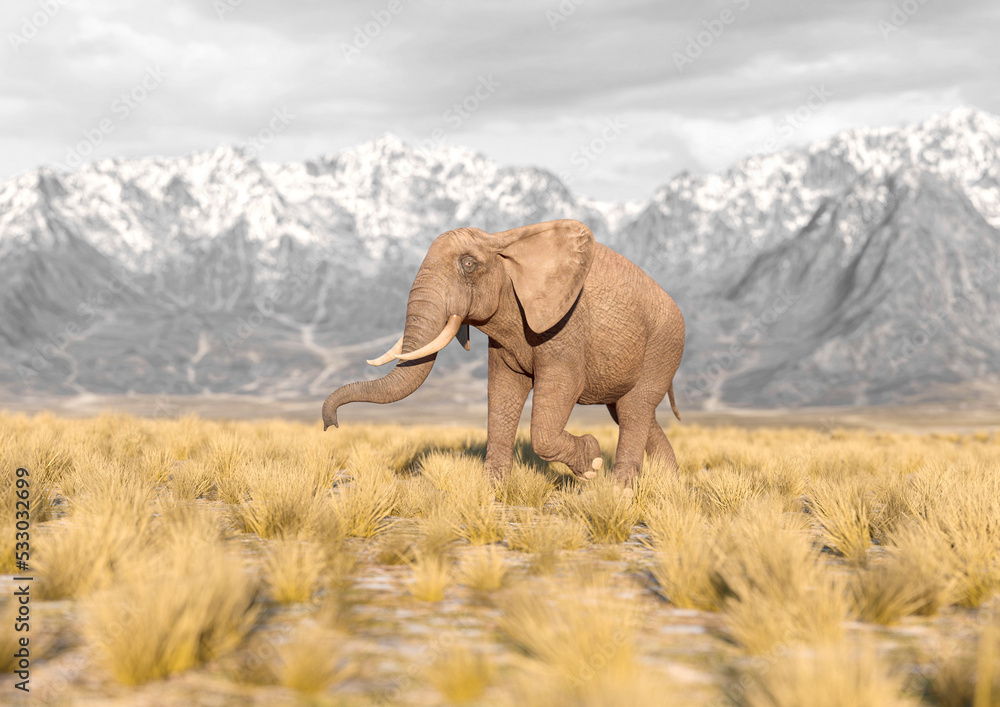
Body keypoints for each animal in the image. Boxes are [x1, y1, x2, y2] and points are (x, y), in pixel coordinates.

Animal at [321, 219, 685, 483]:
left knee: (634, 408)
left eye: (469, 264)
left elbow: (562, 392)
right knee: (630, 410)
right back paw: (671, 484)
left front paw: (592, 462)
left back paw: (622, 489)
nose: (330, 425)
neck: (502, 242)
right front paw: (492, 488)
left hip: (664, 344)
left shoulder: (566, 325)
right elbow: (502, 391)